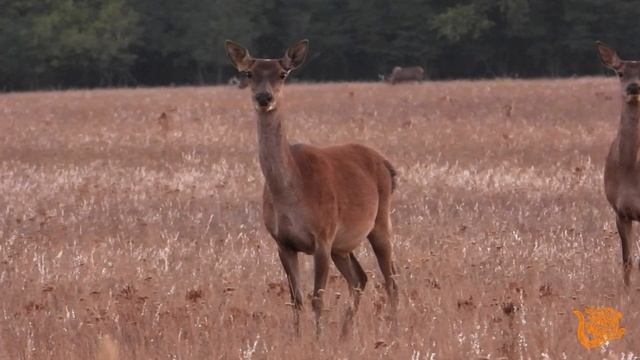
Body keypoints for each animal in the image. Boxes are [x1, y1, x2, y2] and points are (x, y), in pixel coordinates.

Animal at [222, 39, 398, 334]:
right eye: (249, 73)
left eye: (282, 73)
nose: (264, 98)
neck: (292, 193)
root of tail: (387, 164)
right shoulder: (282, 242)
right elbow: (297, 299)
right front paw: (298, 337)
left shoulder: (323, 236)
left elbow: (318, 298)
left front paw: (317, 337)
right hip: (343, 245)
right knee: (360, 279)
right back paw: (345, 333)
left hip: (379, 220)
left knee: (391, 280)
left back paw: (394, 330)